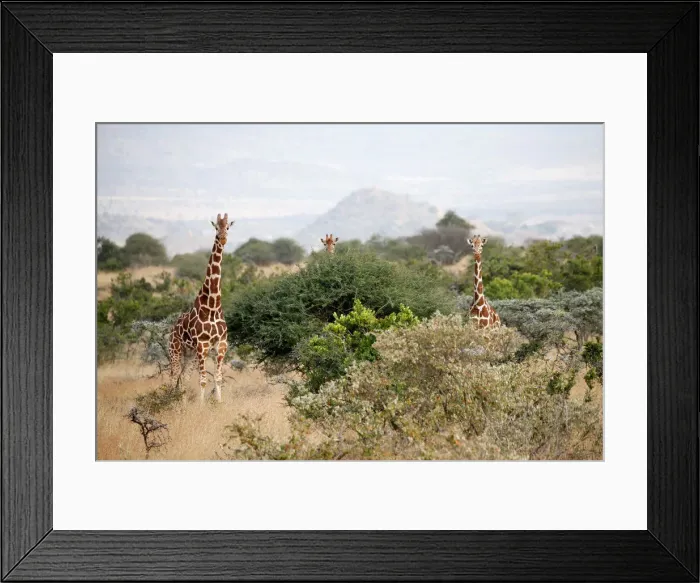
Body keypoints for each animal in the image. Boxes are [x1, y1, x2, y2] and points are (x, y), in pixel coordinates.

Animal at [169, 213, 234, 403]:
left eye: (228, 227)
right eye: (216, 227)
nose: (223, 238)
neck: (212, 305)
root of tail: (172, 328)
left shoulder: (221, 344)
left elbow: (217, 377)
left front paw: (219, 403)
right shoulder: (202, 346)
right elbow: (203, 379)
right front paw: (201, 405)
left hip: (189, 354)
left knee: (183, 376)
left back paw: (182, 403)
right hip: (175, 350)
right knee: (174, 374)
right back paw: (169, 400)